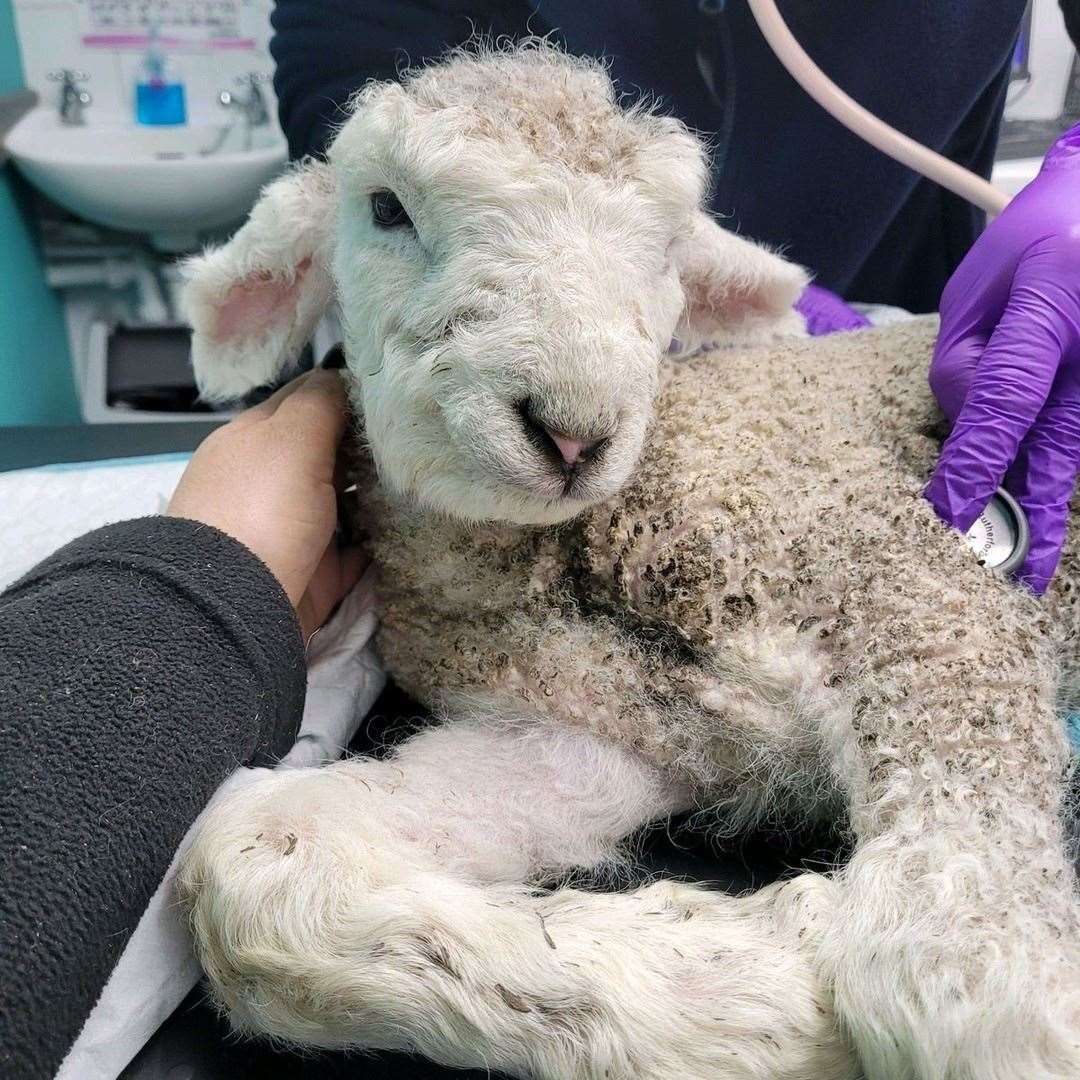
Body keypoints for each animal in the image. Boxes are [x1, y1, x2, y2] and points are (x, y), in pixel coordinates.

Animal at [172, 42, 1075, 1080]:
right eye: (385, 208)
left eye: (671, 242)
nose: (572, 430)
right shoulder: (605, 720)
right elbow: (255, 862)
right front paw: (758, 984)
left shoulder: (927, 597)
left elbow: (967, 965)